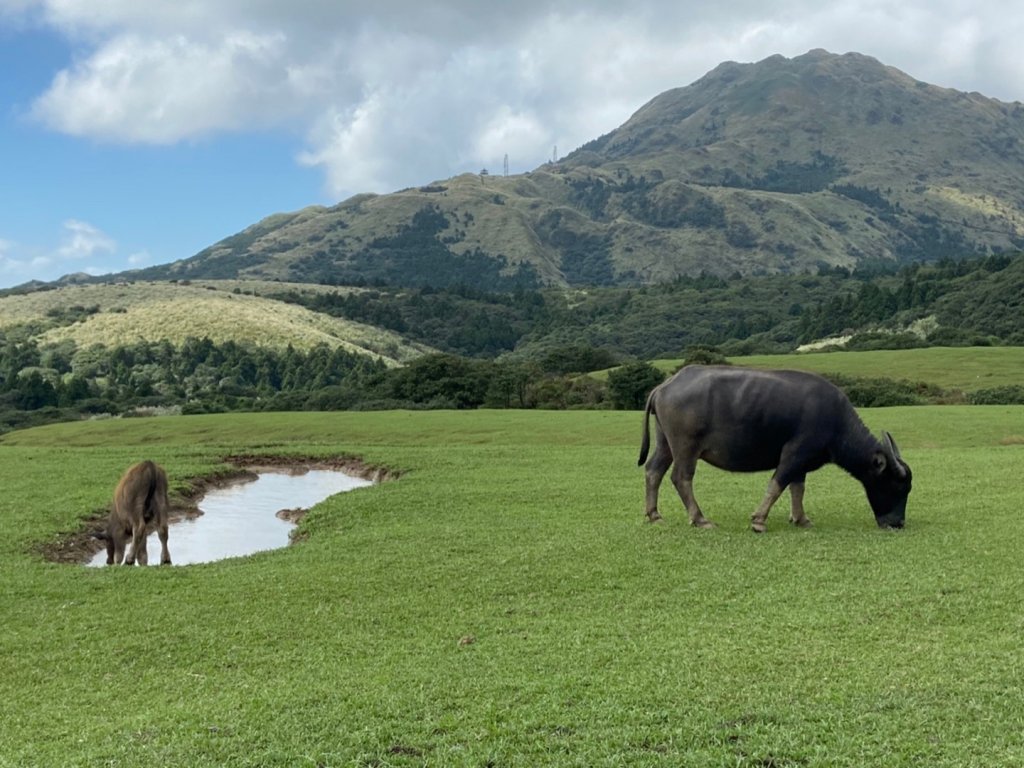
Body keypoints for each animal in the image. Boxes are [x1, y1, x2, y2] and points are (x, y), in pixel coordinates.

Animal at [638, 364, 913, 532]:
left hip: (665, 443)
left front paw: (800, 518)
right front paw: (759, 520)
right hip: (686, 446)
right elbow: (777, 484)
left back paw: (654, 515)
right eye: (897, 486)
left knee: (654, 470)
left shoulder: (803, 462)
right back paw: (699, 518)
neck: (836, 423)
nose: (897, 523)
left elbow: (797, 488)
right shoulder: (795, 453)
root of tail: (664, 386)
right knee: (681, 477)